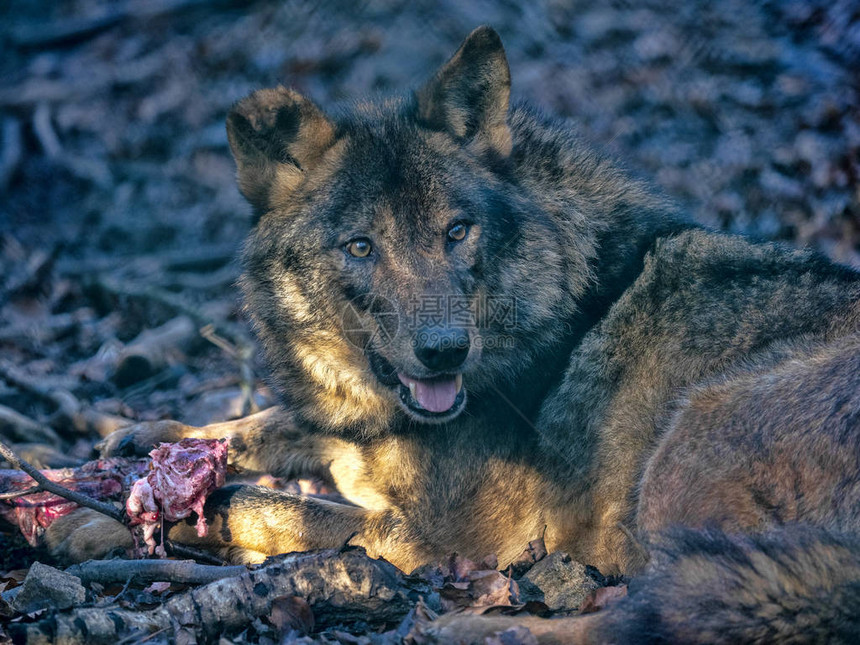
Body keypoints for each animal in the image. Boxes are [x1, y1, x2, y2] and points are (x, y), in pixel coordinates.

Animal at [48, 25, 860, 640]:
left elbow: (255, 503)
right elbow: (264, 425)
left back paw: (472, 625)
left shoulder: (437, 537)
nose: (445, 351)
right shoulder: (355, 433)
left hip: (686, 443)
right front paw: (132, 445)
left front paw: (86, 522)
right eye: (361, 247)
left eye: (456, 232)